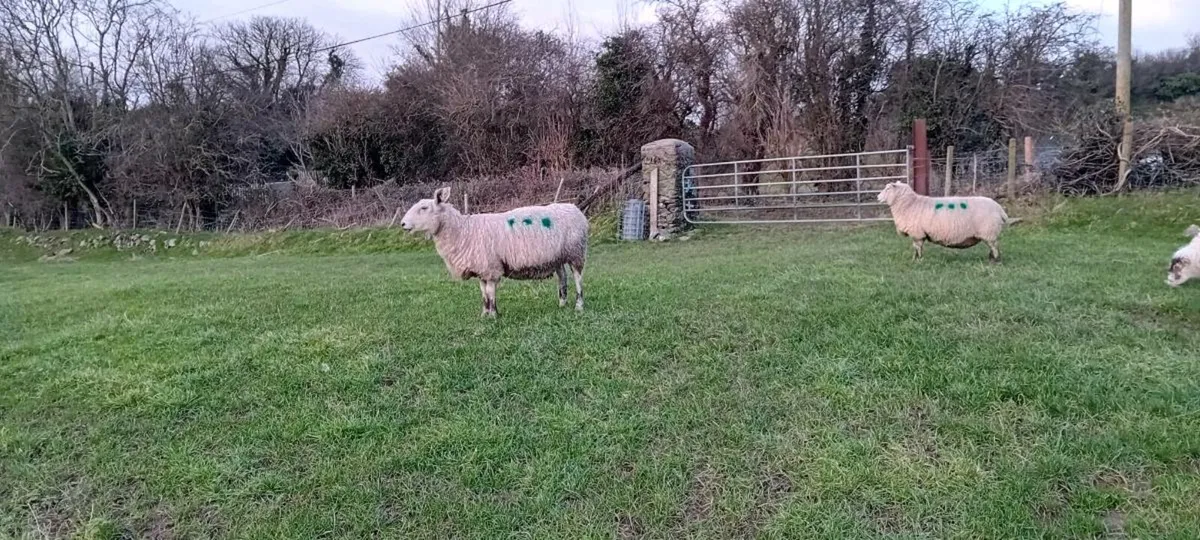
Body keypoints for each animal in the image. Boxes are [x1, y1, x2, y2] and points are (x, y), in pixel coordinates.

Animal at [399, 187, 587, 317]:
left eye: (424, 208)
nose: (402, 224)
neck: (462, 230)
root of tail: (574, 207)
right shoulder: (481, 267)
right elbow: (483, 293)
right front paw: (485, 314)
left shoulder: (490, 267)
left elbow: (490, 292)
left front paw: (494, 315)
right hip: (558, 256)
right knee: (562, 277)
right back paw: (562, 303)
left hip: (576, 252)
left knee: (577, 278)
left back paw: (579, 305)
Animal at [876, 181, 1012, 262]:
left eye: (888, 189)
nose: (877, 197)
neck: (909, 204)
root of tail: (1000, 209)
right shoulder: (919, 234)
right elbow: (917, 247)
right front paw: (916, 258)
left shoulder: (917, 234)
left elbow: (917, 247)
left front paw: (917, 259)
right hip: (990, 233)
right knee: (993, 247)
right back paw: (991, 259)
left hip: (989, 231)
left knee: (994, 247)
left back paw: (994, 261)